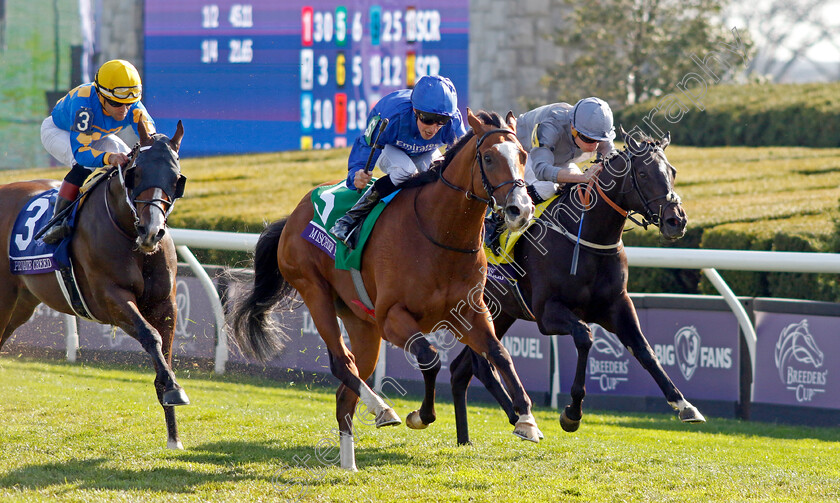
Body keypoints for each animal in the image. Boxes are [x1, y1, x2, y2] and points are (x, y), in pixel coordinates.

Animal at [0, 121, 189, 448]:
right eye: (136, 173)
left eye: (176, 178)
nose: (151, 231)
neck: (129, 233)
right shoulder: (109, 299)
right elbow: (150, 336)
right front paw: (174, 390)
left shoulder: (165, 303)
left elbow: (164, 352)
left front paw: (173, 432)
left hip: (20, 304)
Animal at [225, 110, 540, 472]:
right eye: (488, 157)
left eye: (523, 156)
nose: (521, 209)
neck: (440, 234)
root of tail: (294, 214)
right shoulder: (392, 318)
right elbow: (430, 359)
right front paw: (421, 415)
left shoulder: (469, 313)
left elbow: (499, 353)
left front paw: (526, 420)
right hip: (315, 292)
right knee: (341, 364)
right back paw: (381, 409)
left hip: (362, 323)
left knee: (345, 391)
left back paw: (349, 464)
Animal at [450, 129, 704, 444]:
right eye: (644, 174)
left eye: (672, 171)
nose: (676, 220)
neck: (588, 239)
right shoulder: (548, 313)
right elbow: (584, 337)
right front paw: (571, 412)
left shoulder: (617, 305)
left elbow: (645, 350)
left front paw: (684, 404)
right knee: (480, 365)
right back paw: (517, 417)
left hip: (502, 313)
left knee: (461, 369)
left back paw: (467, 438)